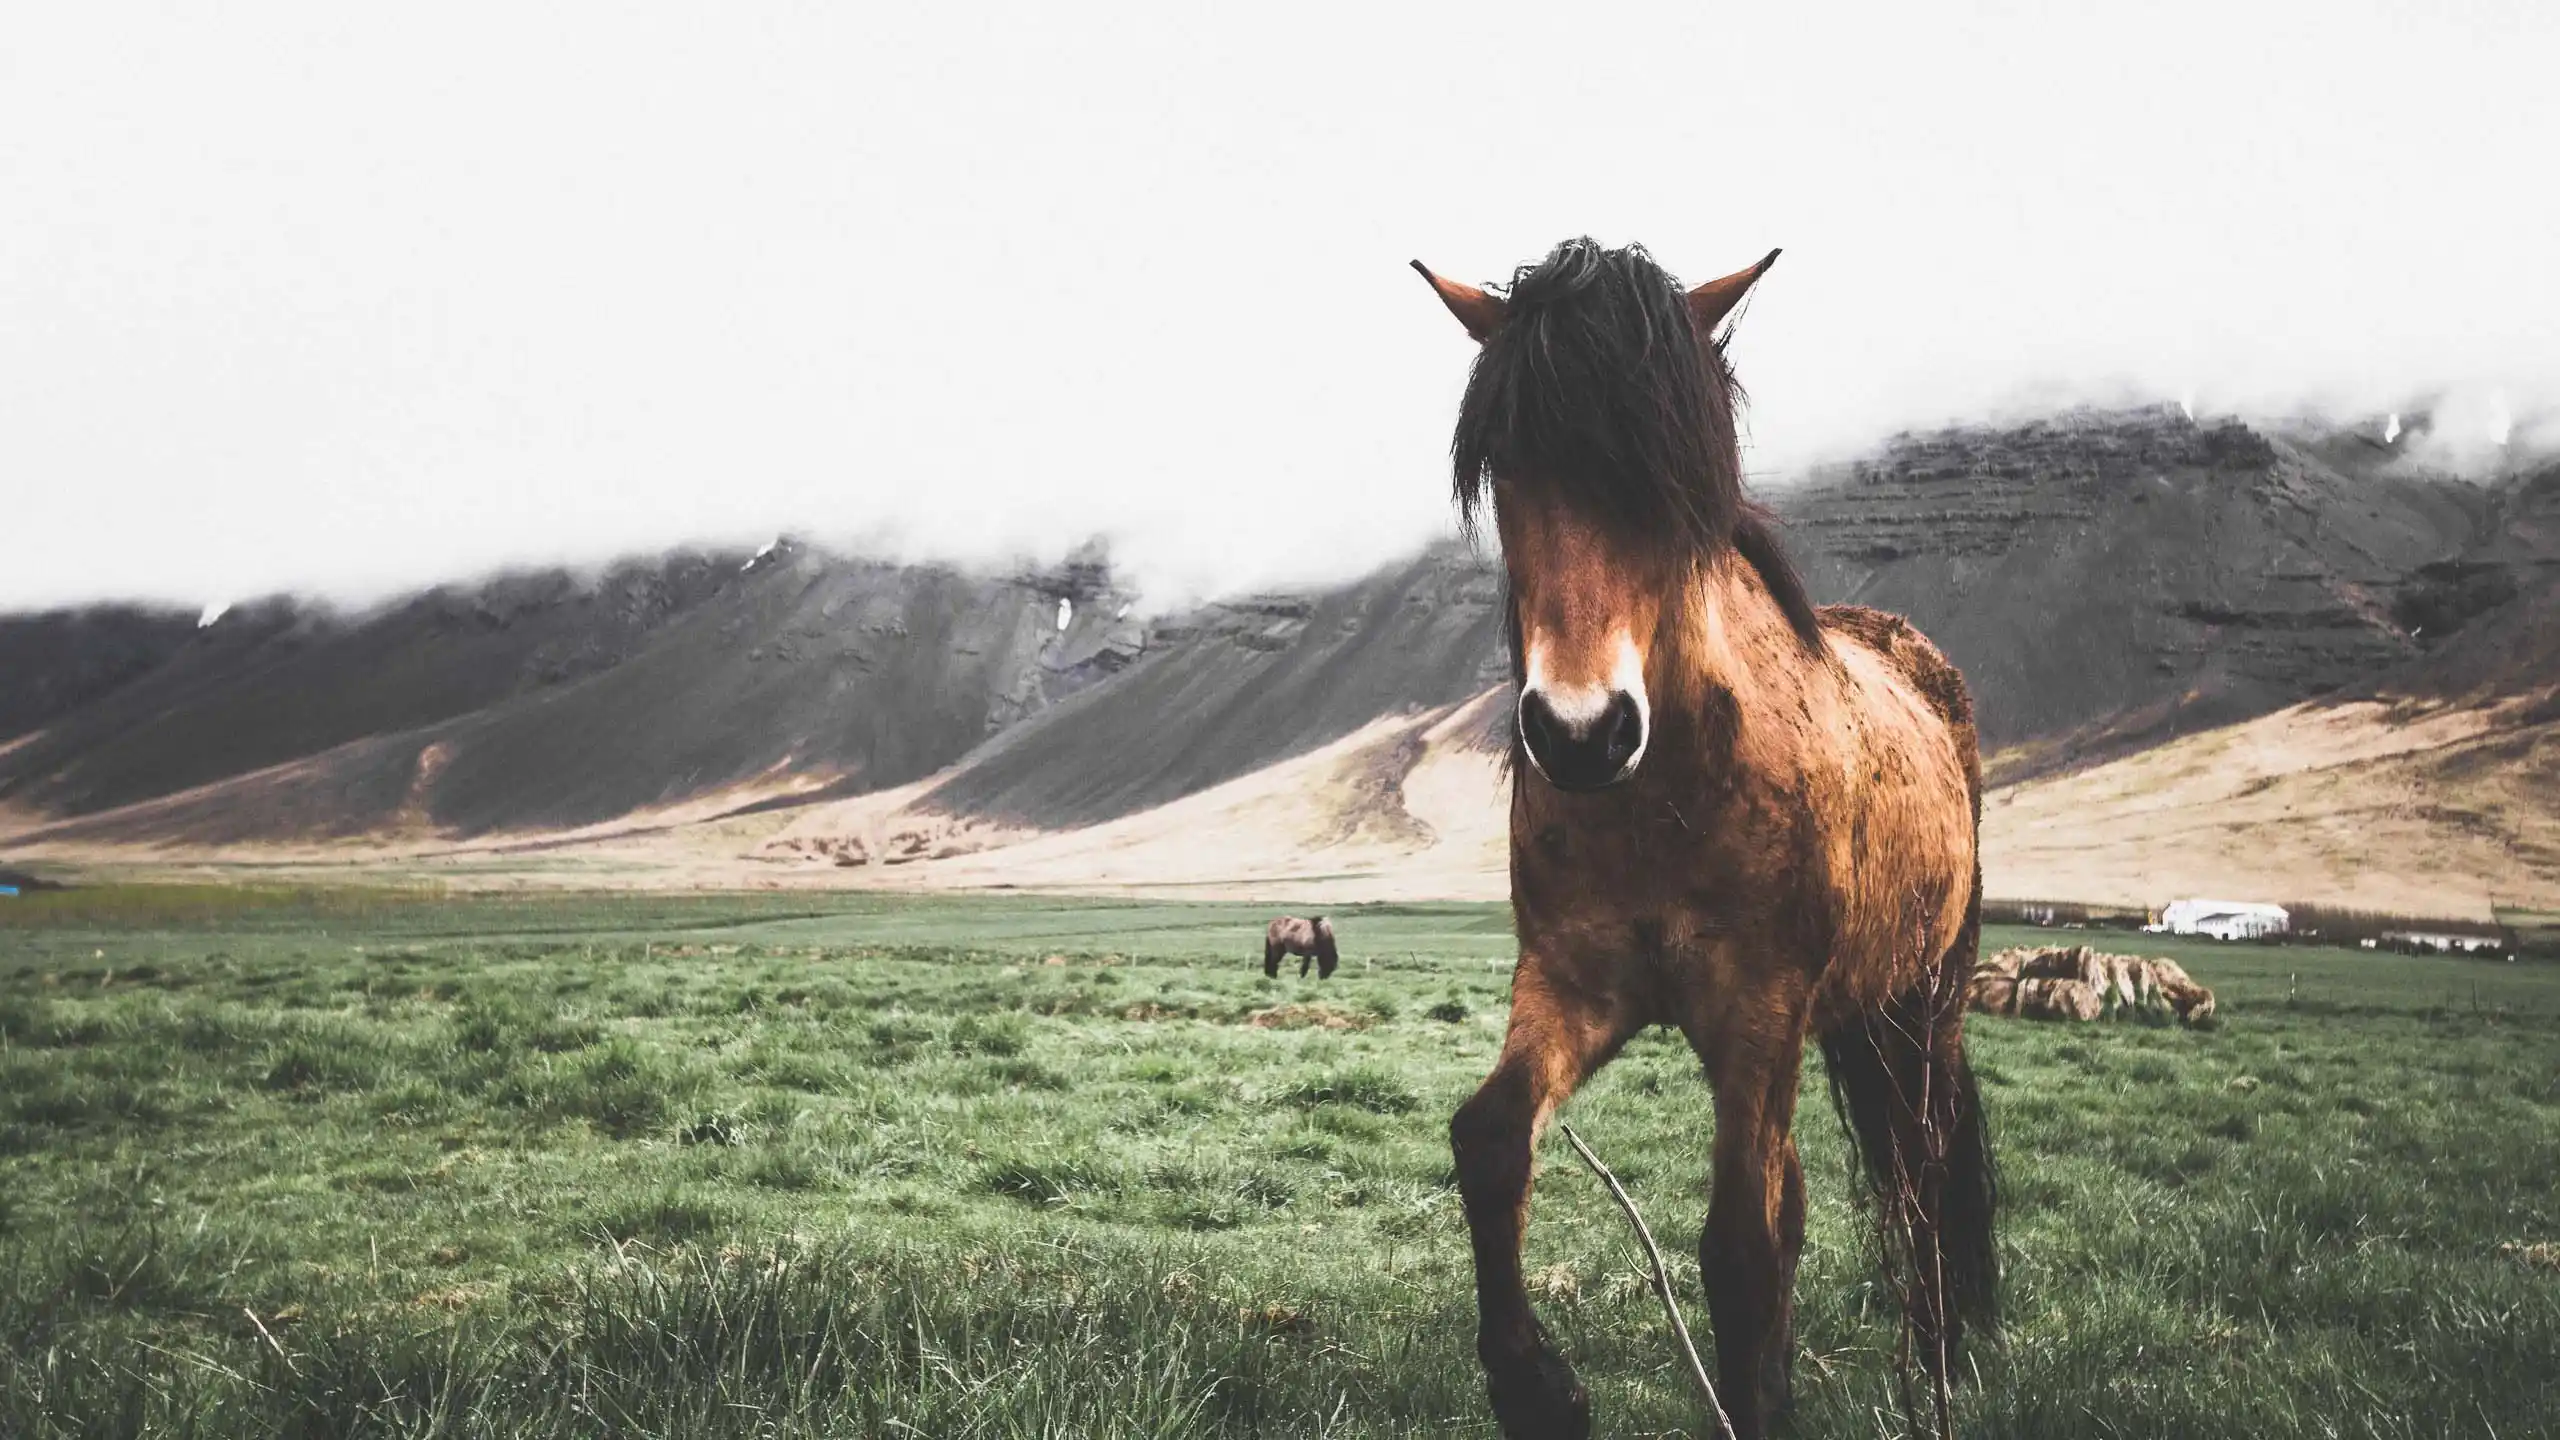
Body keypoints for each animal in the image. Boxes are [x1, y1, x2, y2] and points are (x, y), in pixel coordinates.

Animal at [1412, 238, 1998, 1440]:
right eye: (1506, 465)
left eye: (1669, 473)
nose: (1579, 733)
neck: (1664, 794)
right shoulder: (1576, 985)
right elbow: (1489, 1141)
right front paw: (1540, 1389)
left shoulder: (1756, 1013)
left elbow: (1740, 1248)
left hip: (1922, 1003)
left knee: (1917, 1187)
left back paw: (1932, 1376)